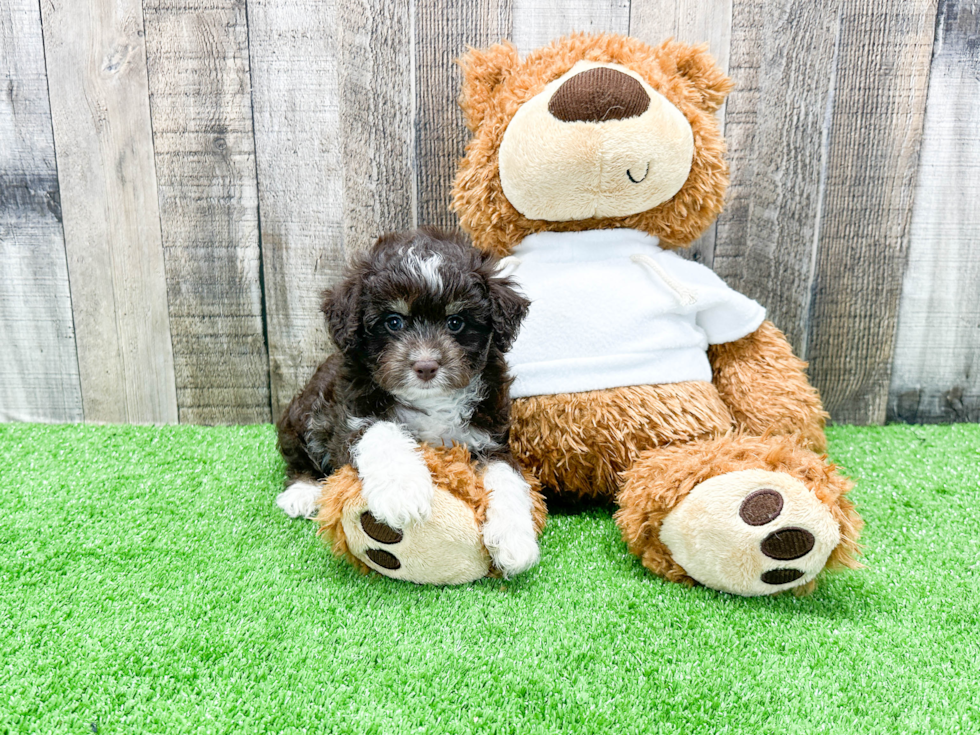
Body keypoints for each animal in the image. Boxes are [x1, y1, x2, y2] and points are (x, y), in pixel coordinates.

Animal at [272, 227, 540, 576]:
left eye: (456, 322)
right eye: (393, 322)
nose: (426, 366)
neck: (432, 402)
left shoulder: (490, 437)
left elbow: (505, 476)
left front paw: (515, 539)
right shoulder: (350, 418)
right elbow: (381, 432)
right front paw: (402, 492)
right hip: (306, 414)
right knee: (298, 456)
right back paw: (302, 491)